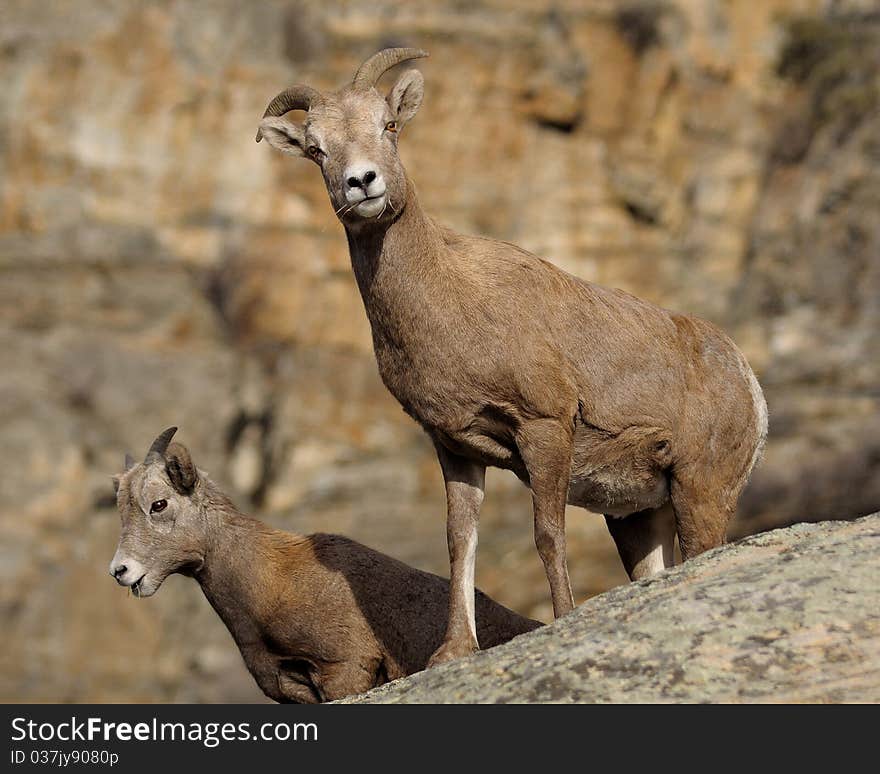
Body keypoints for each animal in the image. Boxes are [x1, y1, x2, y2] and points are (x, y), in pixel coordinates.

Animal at [254, 47, 764, 668]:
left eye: (389, 126)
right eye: (317, 149)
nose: (362, 183)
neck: (452, 298)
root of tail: (745, 378)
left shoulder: (543, 429)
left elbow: (548, 533)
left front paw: (564, 619)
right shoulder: (455, 447)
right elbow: (459, 542)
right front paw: (452, 652)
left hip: (701, 494)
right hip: (638, 519)